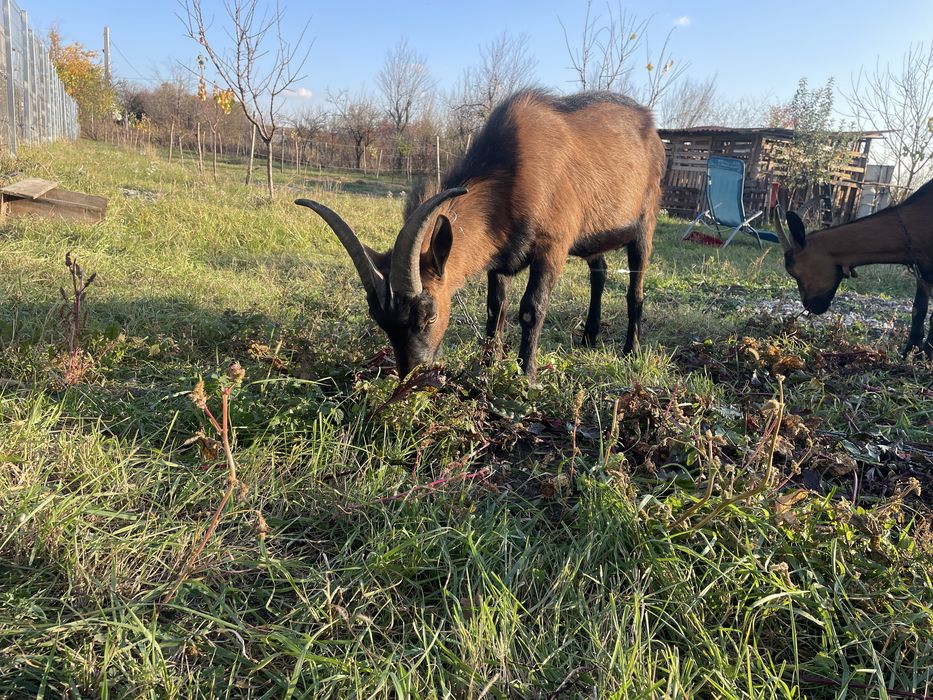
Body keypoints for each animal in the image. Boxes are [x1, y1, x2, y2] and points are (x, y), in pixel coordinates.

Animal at [296, 89, 665, 378]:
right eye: (380, 321)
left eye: (430, 315)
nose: (413, 373)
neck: (512, 173)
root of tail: (650, 124)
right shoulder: (499, 258)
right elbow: (495, 309)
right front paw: (487, 366)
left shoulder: (552, 245)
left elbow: (531, 308)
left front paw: (526, 375)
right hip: (594, 237)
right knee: (599, 271)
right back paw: (589, 337)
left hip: (644, 223)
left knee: (635, 289)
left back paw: (631, 350)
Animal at [775, 178, 933, 357]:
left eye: (794, 271)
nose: (810, 307)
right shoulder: (923, 270)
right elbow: (918, 310)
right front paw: (911, 351)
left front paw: (926, 353)